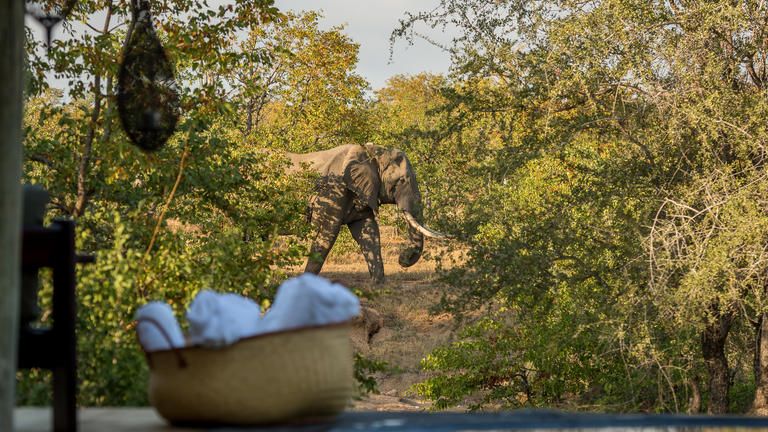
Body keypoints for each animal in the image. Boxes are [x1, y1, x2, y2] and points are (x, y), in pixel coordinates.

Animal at [286, 143, 447, 283]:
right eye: (401, 180)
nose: (402, 259)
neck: (370, 152)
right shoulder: (333, 192)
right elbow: (326, 233)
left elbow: (368, 233)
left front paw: (378, 284)